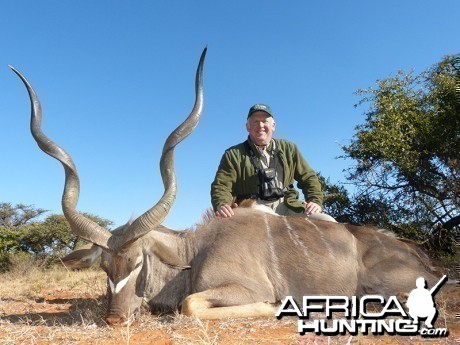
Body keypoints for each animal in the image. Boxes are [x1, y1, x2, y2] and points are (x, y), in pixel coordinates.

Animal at [10, 48, 438, 326]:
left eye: (137, 263)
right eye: (104, 267)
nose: (115, 319)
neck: (193, 251)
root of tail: (421, 258)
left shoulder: (244, 288)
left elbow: (191, 305)